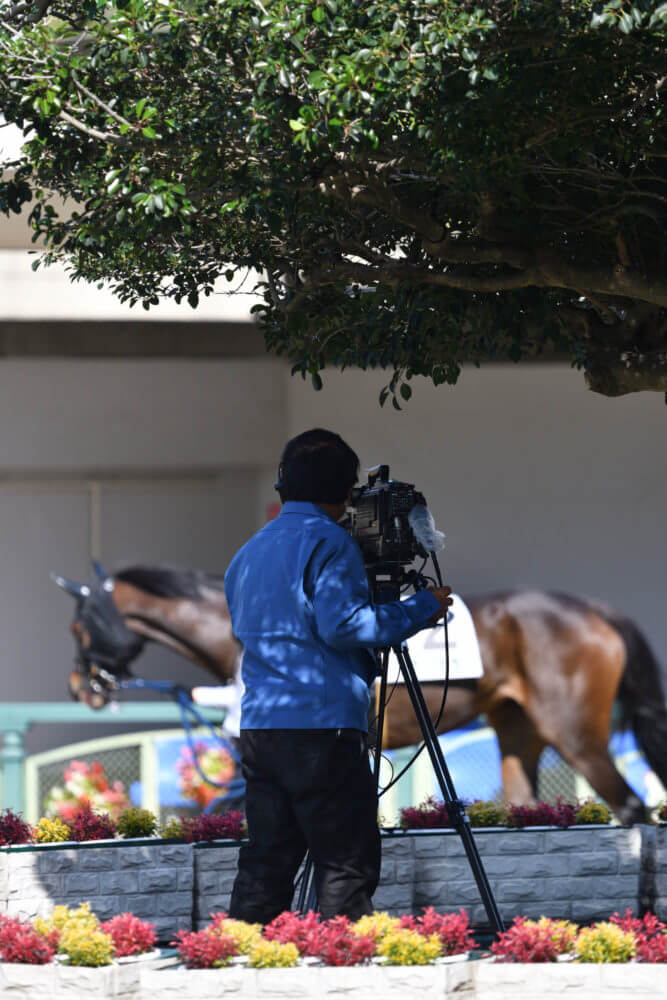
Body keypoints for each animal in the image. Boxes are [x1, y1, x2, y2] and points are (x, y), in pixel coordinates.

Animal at [53, 568, 667, 824]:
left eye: (80, 627)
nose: (81, 687)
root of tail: (597, 611)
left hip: (577, 735)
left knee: (632, 808)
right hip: (519, 732)